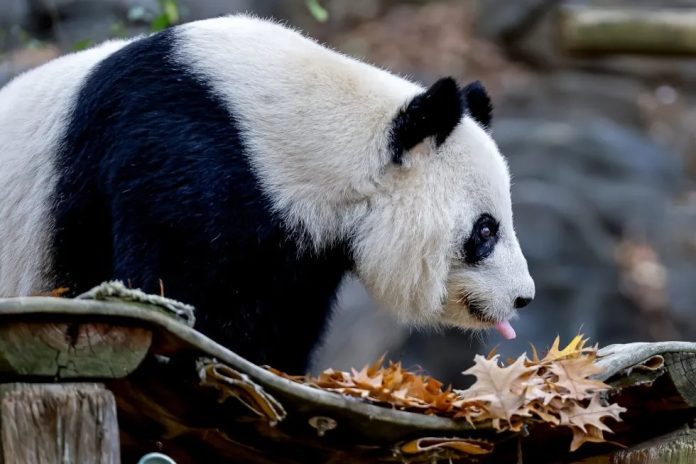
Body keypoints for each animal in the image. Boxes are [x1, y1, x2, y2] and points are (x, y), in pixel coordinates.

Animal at [0, 14, 536, 374]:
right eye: (485, 230)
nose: (523, 297)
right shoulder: (177, 152)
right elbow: (166, 282)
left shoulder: (303, 247)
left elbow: (282, 321)